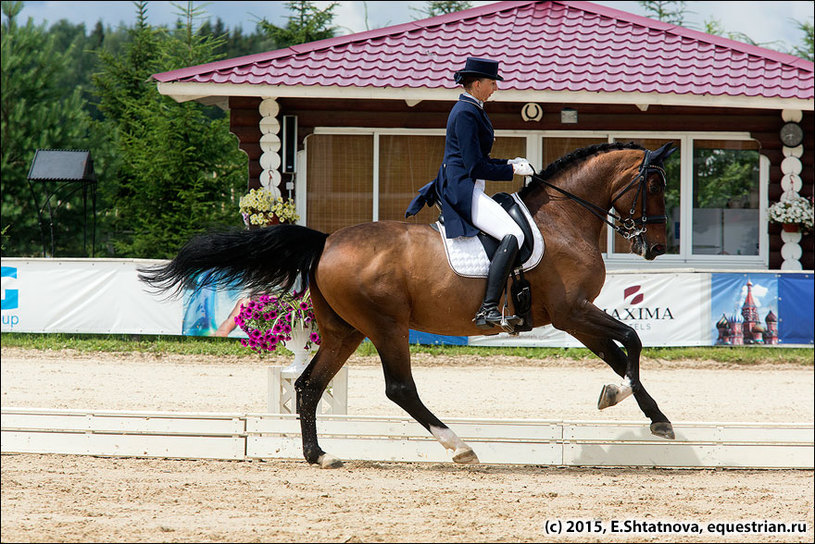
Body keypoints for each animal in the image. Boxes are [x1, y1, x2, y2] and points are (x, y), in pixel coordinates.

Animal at [139, 140, 676, 468]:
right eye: (654, 185)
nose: (656, 247)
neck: (563, 219)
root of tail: (326, 242)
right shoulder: (572, 311)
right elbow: (632, 340)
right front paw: (625, 399)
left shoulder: (575, 317)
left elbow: (620, 354)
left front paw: (652, 415)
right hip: (386, 326)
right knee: (399, 388)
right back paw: (459, 448)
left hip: (345, 330)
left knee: (310, 384)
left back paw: (319, 455)